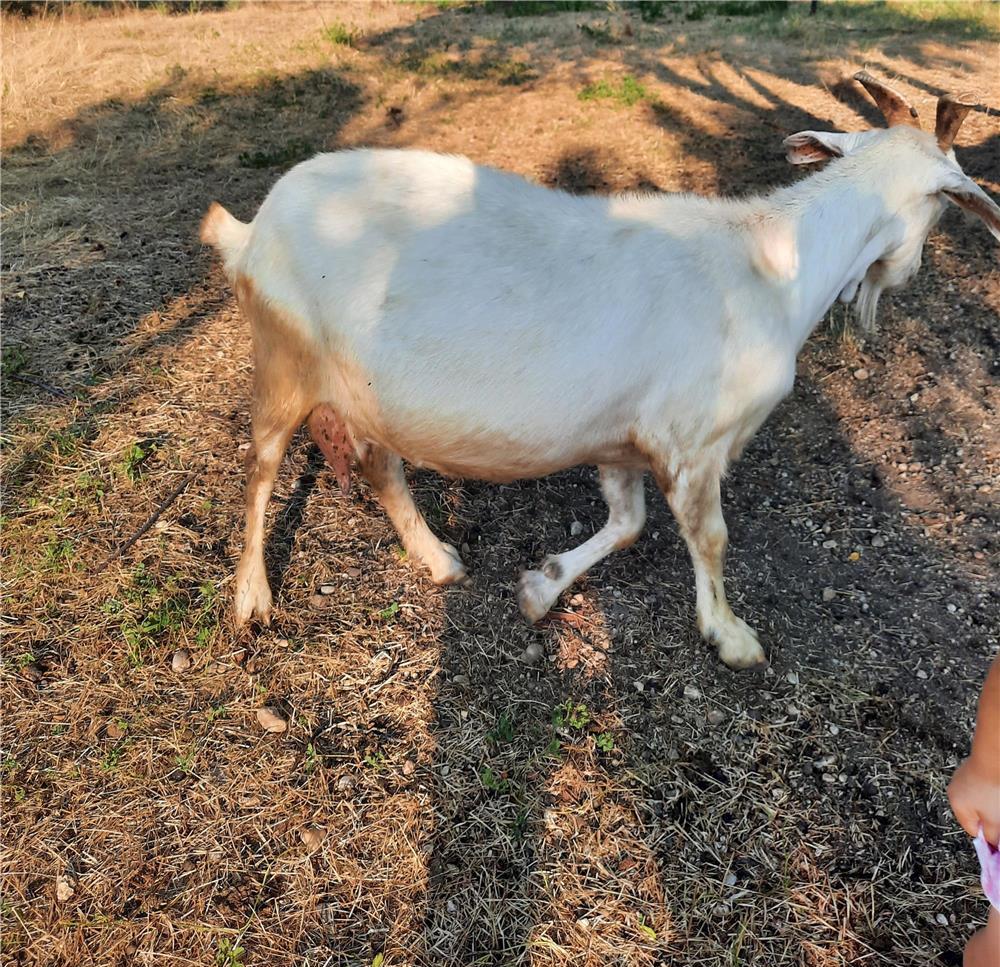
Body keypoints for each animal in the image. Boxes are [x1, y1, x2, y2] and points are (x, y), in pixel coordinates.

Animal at [201, 72, 999, 669]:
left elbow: (628, 523)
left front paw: (540, 587)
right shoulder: (693, 442)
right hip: (282, 360)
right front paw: (732, 637)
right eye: (947, 202)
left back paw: (438, 560)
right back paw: (252, 599)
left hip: (363, 391)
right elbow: (710, 538)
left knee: (378, 466)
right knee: (260, 466)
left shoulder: (623, 439)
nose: (908, 271)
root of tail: (251, 230)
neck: (773, 267)